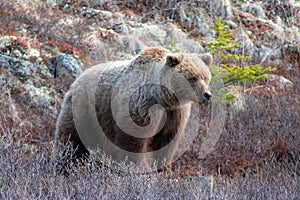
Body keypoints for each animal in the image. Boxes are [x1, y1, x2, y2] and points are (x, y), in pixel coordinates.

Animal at [54, 47, 213, 172]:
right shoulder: (141, 106)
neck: (161, 97)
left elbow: (167, 141)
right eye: (192, 77)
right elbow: (134, 141)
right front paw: (140, 168)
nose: (207, 94)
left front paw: (163, 168)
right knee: (71, 137)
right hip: (86, 108)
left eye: (205, 77)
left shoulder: (174, 113)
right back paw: (65, 163)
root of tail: (79, 77)